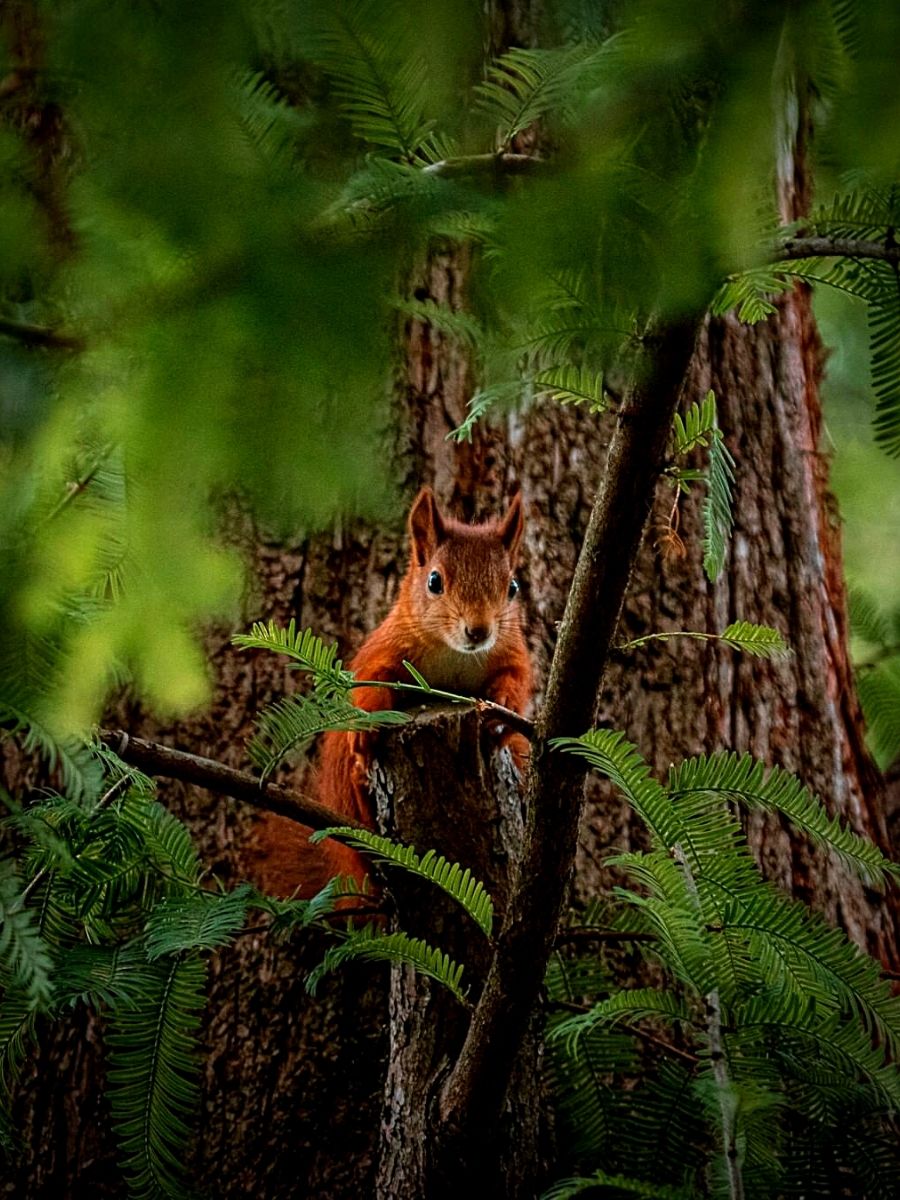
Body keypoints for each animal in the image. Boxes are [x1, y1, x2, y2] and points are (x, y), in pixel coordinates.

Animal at [250, 482, 532, 897]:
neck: (455, 656)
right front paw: (366, 724)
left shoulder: (513, 654)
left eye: (512, 587)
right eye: (434, 581)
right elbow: (370, 685)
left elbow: (517, 682)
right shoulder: (384, 650)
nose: (478, 631)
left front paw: (502, 707)